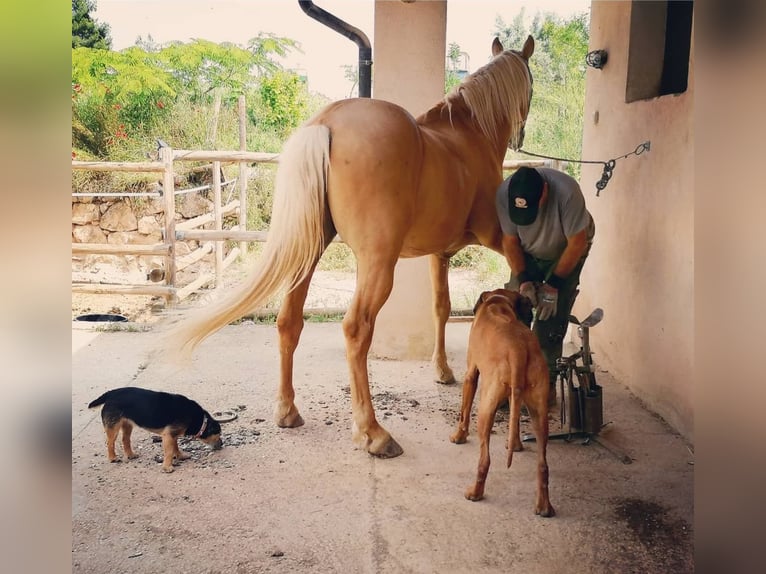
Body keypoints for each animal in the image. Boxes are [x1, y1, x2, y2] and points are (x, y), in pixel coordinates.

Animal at [89, 390, 225, 474]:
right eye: (218, 434)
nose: (222, 444)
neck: (202, 421)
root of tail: (110, 394)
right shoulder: (169, 435)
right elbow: (169, 451)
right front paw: (167, 467)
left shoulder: (173, 435)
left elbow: (175, 447)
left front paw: (180, 456)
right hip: (113, 427)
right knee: (110, 442)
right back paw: (113, 458)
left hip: (127, 424)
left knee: (125, 439)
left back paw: (130, 455)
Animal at [165, 35, 536, 460]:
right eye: (531, 84)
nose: (521, 136)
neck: (467, 135)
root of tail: (326, 122)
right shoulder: (498, 238)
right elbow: (519, 281)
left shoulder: (439, 254)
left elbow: (441, 308)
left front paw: (442, 370)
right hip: (377, 264)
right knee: (356, 329)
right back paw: (373, 432)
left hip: (308, 254)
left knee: (288, 322)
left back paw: (287, 411)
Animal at [448, 288, 556, 516]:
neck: (497, 301)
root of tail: (518, 349)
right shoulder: (515, 394)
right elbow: (514, 422)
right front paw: (515, 444)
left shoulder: (471, 374)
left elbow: (464, 412)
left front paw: (459, 436)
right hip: (539, 412)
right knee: (543, 464)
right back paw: (544, 506)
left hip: (485, 407)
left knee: (485, 460)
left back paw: (475, 493)